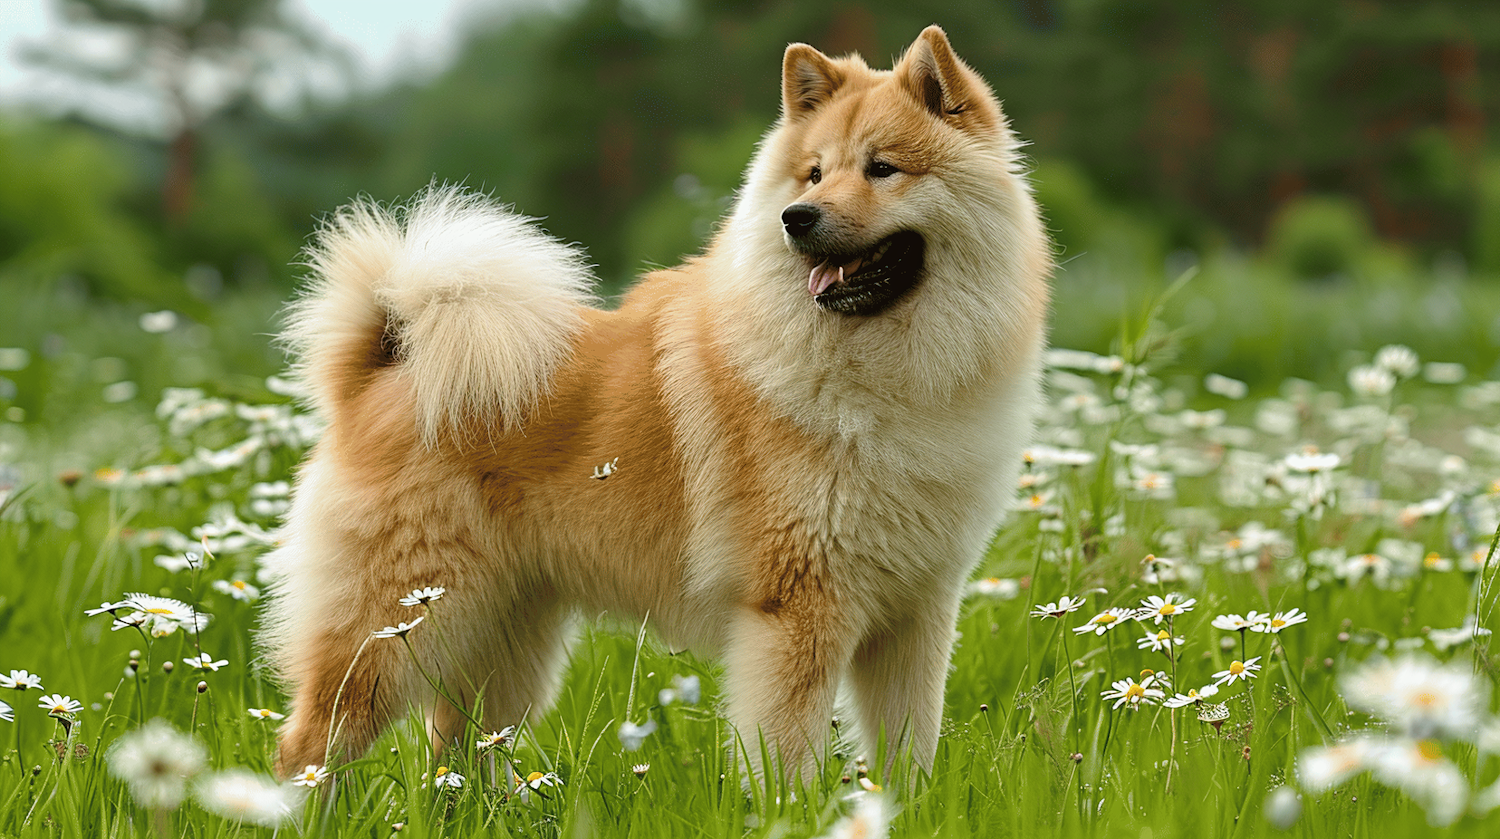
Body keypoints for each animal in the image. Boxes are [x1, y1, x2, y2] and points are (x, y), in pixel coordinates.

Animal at [261, 22, 1056, 780]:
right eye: (813, 172)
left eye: (882, 168)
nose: (797, 216)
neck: (883, 372)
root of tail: (385, 364)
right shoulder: (799, 608)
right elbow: (787, 754)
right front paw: (789, 810)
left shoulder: (916, 612)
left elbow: (907, 752)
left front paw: (903, 808)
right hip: (399, 626)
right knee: (309, 746)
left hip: (504, 638)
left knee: (457, 751)